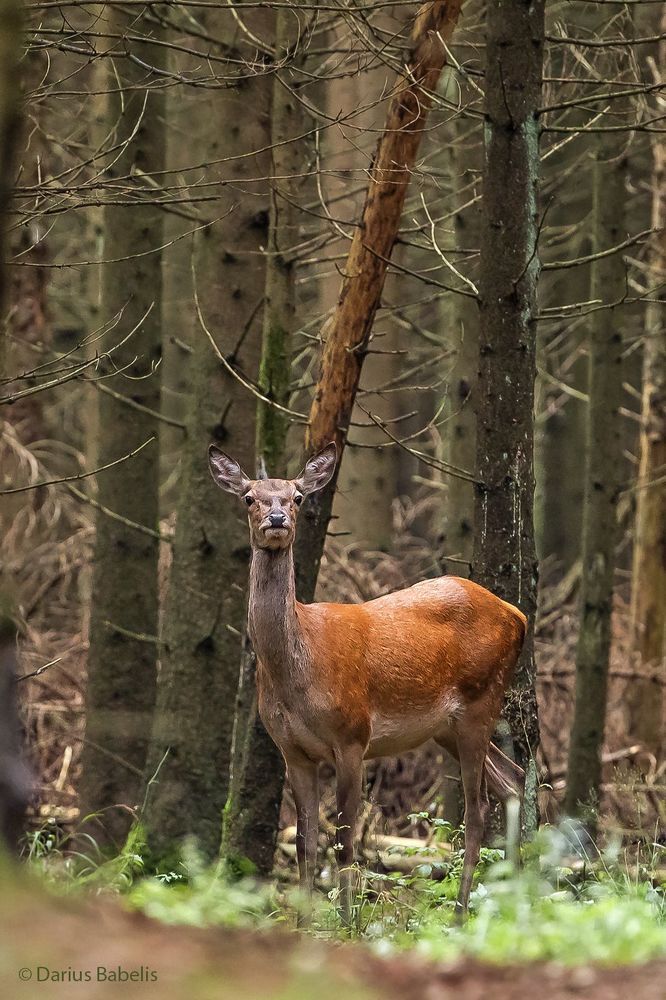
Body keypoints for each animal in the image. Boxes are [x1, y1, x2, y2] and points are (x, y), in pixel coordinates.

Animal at [208, 441, 527, 923]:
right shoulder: (292, 750)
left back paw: (461, 913)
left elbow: (343, 841)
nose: (277, 518)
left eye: (298, 496)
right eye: (249, 497)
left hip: (481, 700)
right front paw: (304, 922)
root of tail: (518, 615)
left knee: (478, 809)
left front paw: (346, 923)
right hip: (446, 727)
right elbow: (304, 844)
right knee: (514, 779)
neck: (299, 671)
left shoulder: (352, 736)